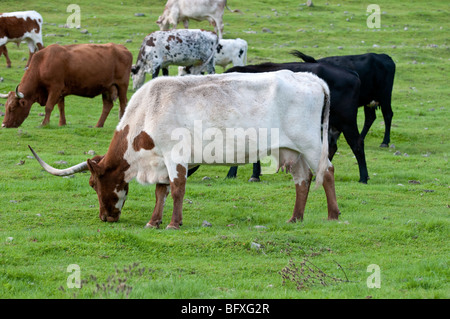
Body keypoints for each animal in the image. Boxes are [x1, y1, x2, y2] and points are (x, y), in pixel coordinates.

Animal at [28, 70, 340, 230]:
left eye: (93, 184)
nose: (105, 217)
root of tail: (312, 78)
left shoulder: (174, 155)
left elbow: (177, 188)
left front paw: (173, 224)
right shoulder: (161, 161)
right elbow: (161, 191)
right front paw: (154, 221)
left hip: (311, 144)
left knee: (327, 172)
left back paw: (333, 215)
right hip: (292, 150)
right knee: (302, 179)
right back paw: (295, 218)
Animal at [188, 61, 370, 184]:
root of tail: (351, 73)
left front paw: (236, 174)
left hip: (347, 122)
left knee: (357, 144)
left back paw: (363, 177)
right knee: (330, 148)